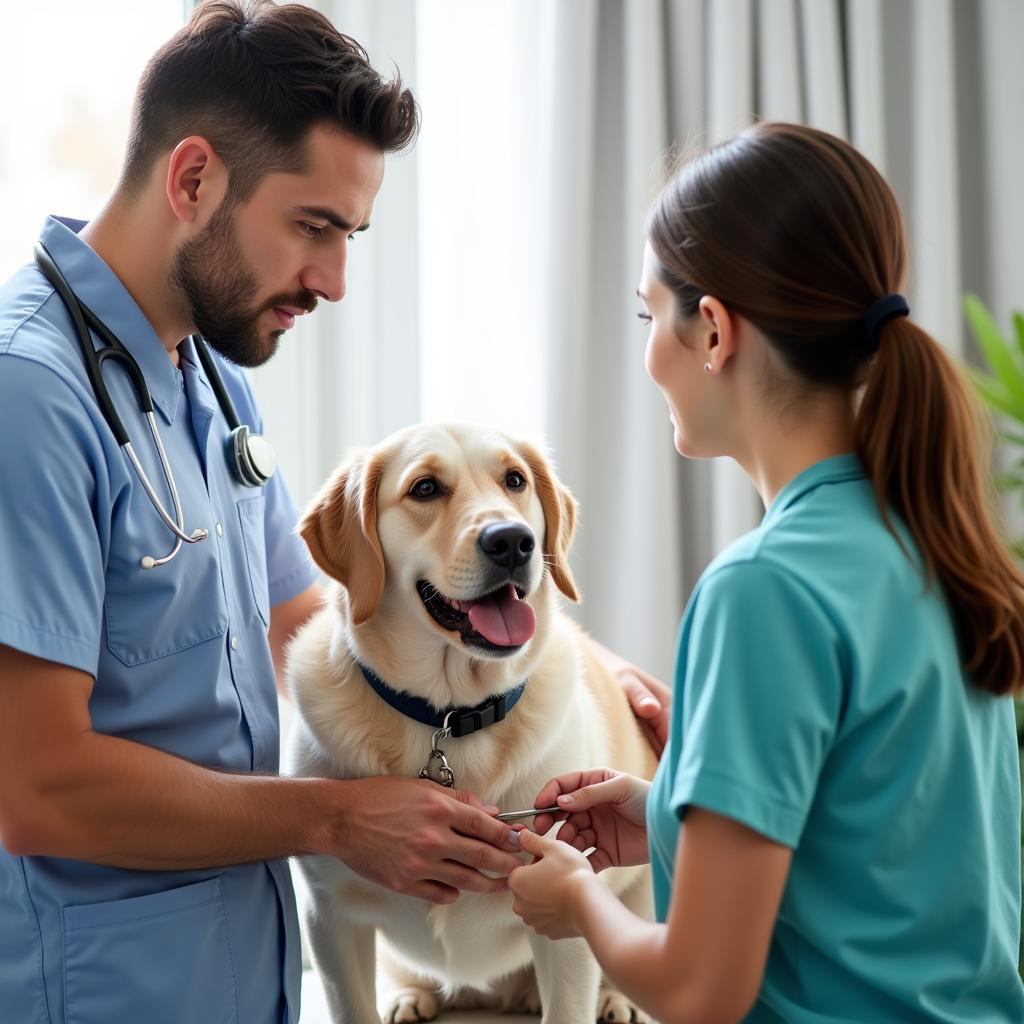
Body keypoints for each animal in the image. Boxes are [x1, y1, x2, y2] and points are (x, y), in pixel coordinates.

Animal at [288, 425, 655, 1024]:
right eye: (425, 488)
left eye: (515, 480)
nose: (513, 541)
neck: (450, 715)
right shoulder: (330, 916)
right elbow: (353, 1005)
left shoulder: (566, 910)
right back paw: (410, 997)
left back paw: (615, 1001)